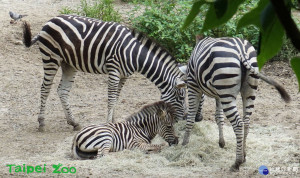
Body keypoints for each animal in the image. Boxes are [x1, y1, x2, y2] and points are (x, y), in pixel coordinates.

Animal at [22, 14, 186, 132]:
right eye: (181, 97)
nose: (184, 118)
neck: (134, 54)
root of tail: (50, 21)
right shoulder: (114, 70)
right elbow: (111, 98)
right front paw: (109, 123)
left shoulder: (124, 75)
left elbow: (117, 97)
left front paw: (114, 120)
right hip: (51, 58)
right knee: (45, 88)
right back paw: (42, 123)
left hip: (68, 64)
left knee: (62, 91)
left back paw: (74, 122)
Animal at [180, 36, 290, 172]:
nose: (199, 118)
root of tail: (241, 50)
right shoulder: (218, 95)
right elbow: (219, 117)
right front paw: (221, 142)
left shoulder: (193, 86)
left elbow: (190, 116)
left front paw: (184, 143)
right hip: (248, 91)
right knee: (246, 122)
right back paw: (244, 155)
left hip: (227, 91)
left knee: (238, 124)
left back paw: (237, 162)